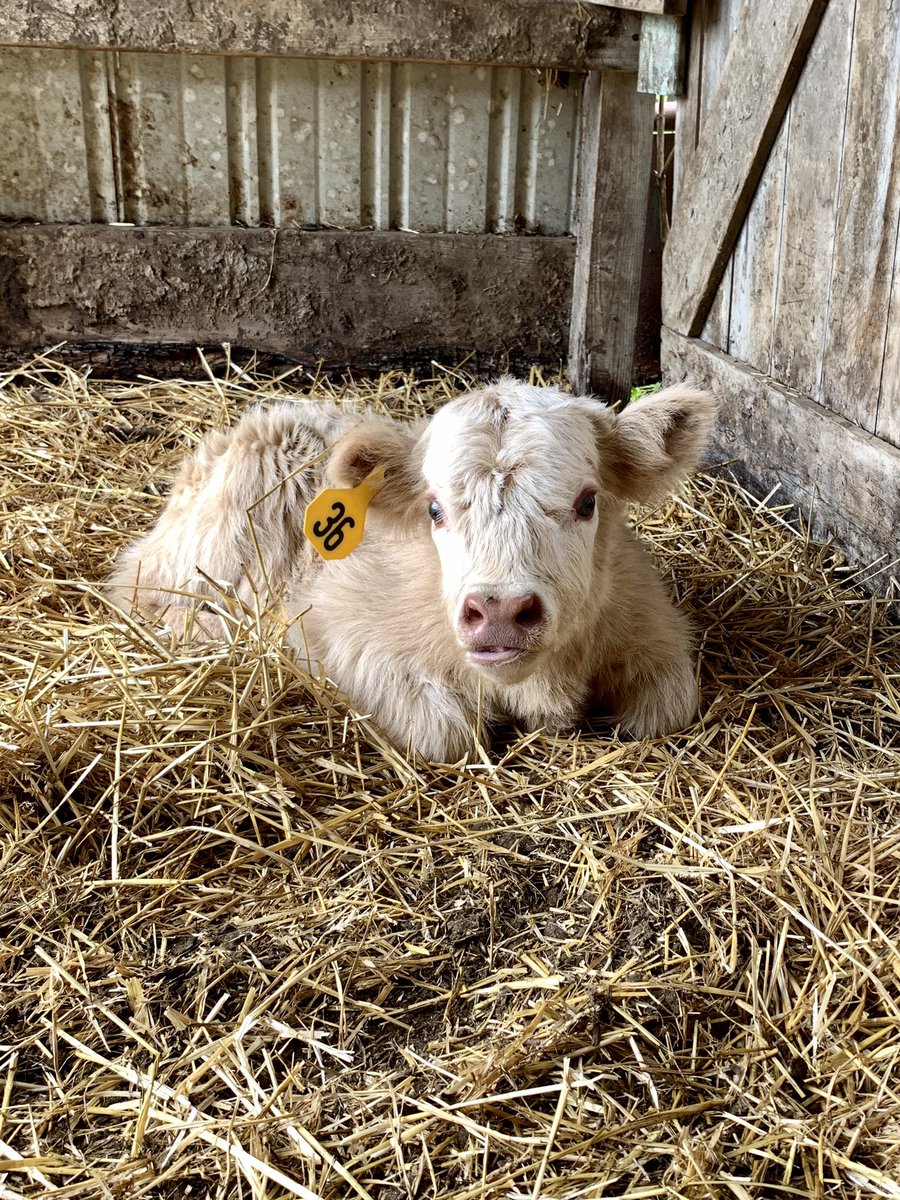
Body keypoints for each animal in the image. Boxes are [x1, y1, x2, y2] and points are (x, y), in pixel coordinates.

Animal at [109, 376, 720, 758]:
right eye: (434, 509)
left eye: (587, 501)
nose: (499, 610)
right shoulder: (341, 636)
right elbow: (448, 734)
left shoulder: (652, 629)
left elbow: (668, 706)